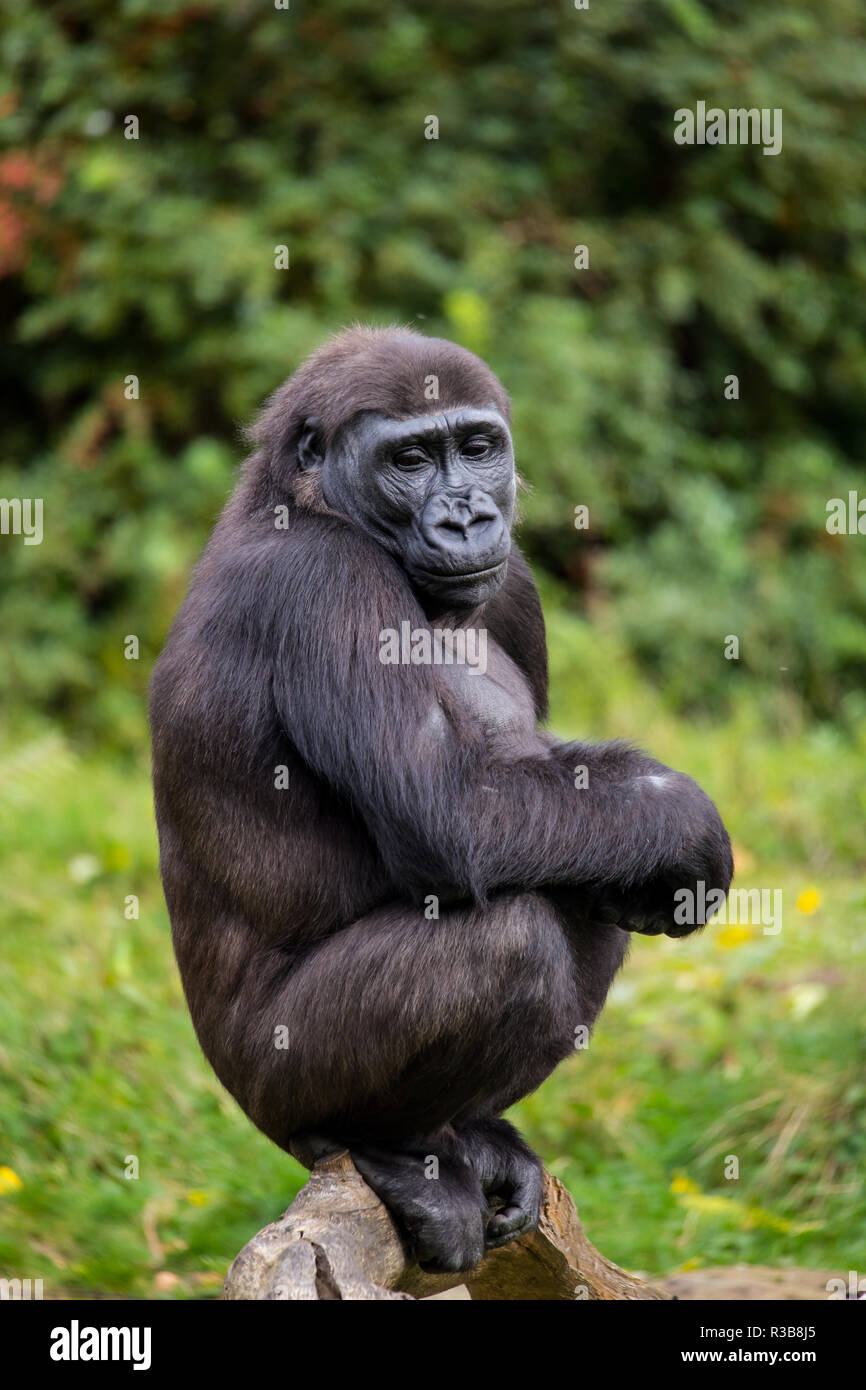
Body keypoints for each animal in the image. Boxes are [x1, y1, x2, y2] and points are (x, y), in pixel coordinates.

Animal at [150, 322, 733, 1273]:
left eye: (478, 448)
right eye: (411, 459)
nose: (466, 516)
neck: (305, 499)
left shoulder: (516, 583)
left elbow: (566, 795)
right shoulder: (323, 578)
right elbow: (449, 810)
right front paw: (681, 815)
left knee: (588, 892)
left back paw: (476, 1134)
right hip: (268, 1091)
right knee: (508, 941)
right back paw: (393, 1149)